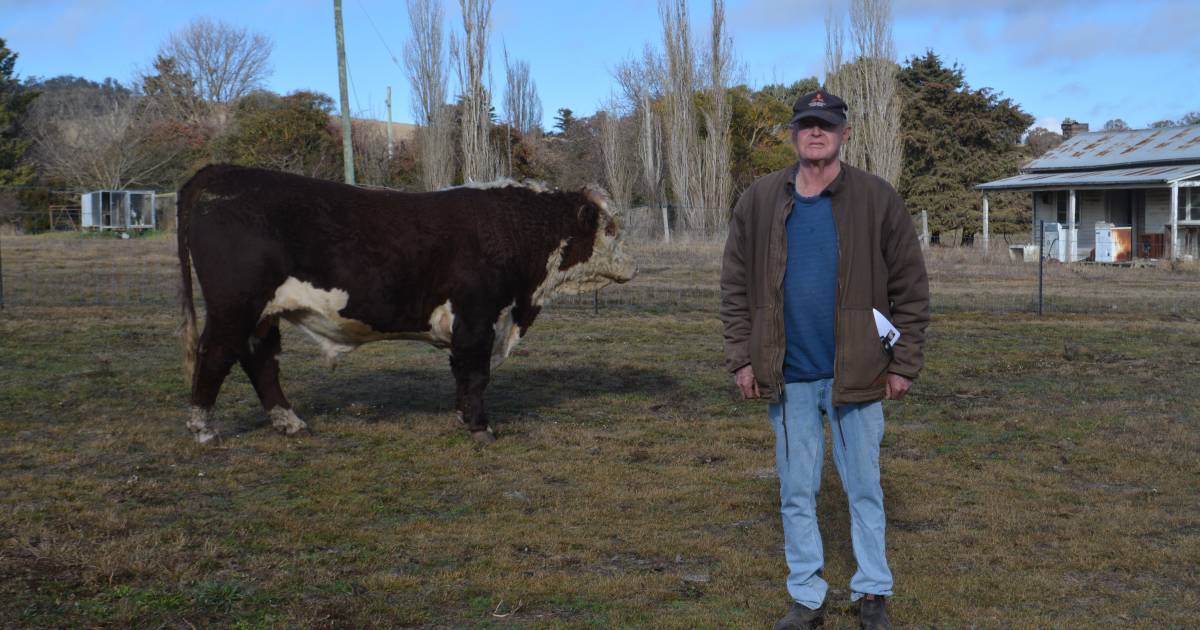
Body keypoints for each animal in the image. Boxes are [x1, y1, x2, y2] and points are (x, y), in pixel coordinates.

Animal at [177, 164, 638, 444]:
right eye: (611, 228)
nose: (634, 264)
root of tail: (219, 171)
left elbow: (461, 373)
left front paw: (463, 418)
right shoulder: (476, 317)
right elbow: (476, 373)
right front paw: (480, 427)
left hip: (261, 314)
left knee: (260, 361)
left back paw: (291, 423)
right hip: (234, 306)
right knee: (215, 354)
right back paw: (203, 430)